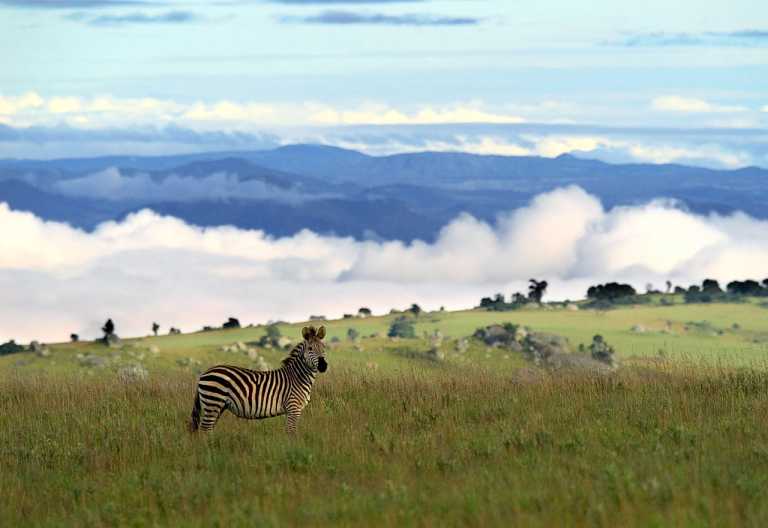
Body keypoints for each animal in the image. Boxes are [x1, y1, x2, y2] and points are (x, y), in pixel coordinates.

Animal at [189, 325, 328, 434]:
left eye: (324, 348)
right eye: (310, 349)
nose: (323, 366)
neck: (297, 377)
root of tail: (204, 373)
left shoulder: (289, 411)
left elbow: (288, 431)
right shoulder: (293, 407)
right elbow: (291, 432)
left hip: (217, 405)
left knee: (208, 428)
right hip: (213, 402)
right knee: (205, 429)